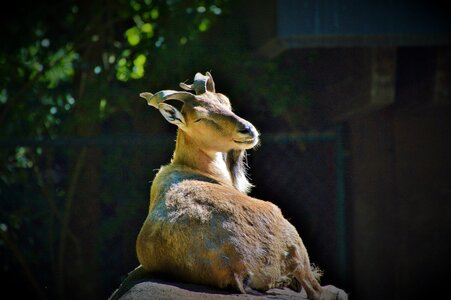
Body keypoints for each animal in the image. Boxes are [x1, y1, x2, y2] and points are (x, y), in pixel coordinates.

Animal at [111, 72, 344, 300]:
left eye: (224, 101)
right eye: (200, 117)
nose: (247, 129)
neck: (193, 168)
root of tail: (237, 267)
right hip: (290, 235)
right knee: (315, 290)